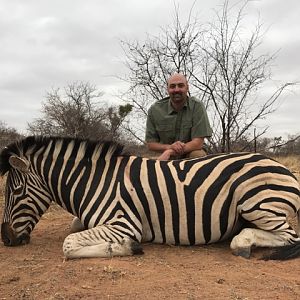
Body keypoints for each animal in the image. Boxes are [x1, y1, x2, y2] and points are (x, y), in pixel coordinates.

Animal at [0, 137, 298, 260]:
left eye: (15, 192)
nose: (6, 239)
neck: (94, 182)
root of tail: (281, 166)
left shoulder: (124, 222)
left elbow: (69, 243)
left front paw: (126, 247)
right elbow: (74, 226)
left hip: (255, 203)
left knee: (290, 236)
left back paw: (242, 242)